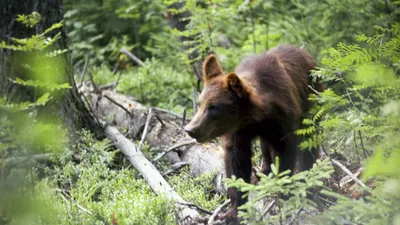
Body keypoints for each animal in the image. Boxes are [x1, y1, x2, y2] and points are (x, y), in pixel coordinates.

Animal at [184, 44, 324, 221]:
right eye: (201, 103)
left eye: (214, 107)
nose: (191, 129)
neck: (255, 118)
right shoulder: (239, 133)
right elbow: (237, 163)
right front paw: (233, 210)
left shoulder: (282, 122)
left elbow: (285, 154)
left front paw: (284, 193)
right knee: (265, 148)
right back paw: (263, 172)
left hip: (311, 102)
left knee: (309, 142)